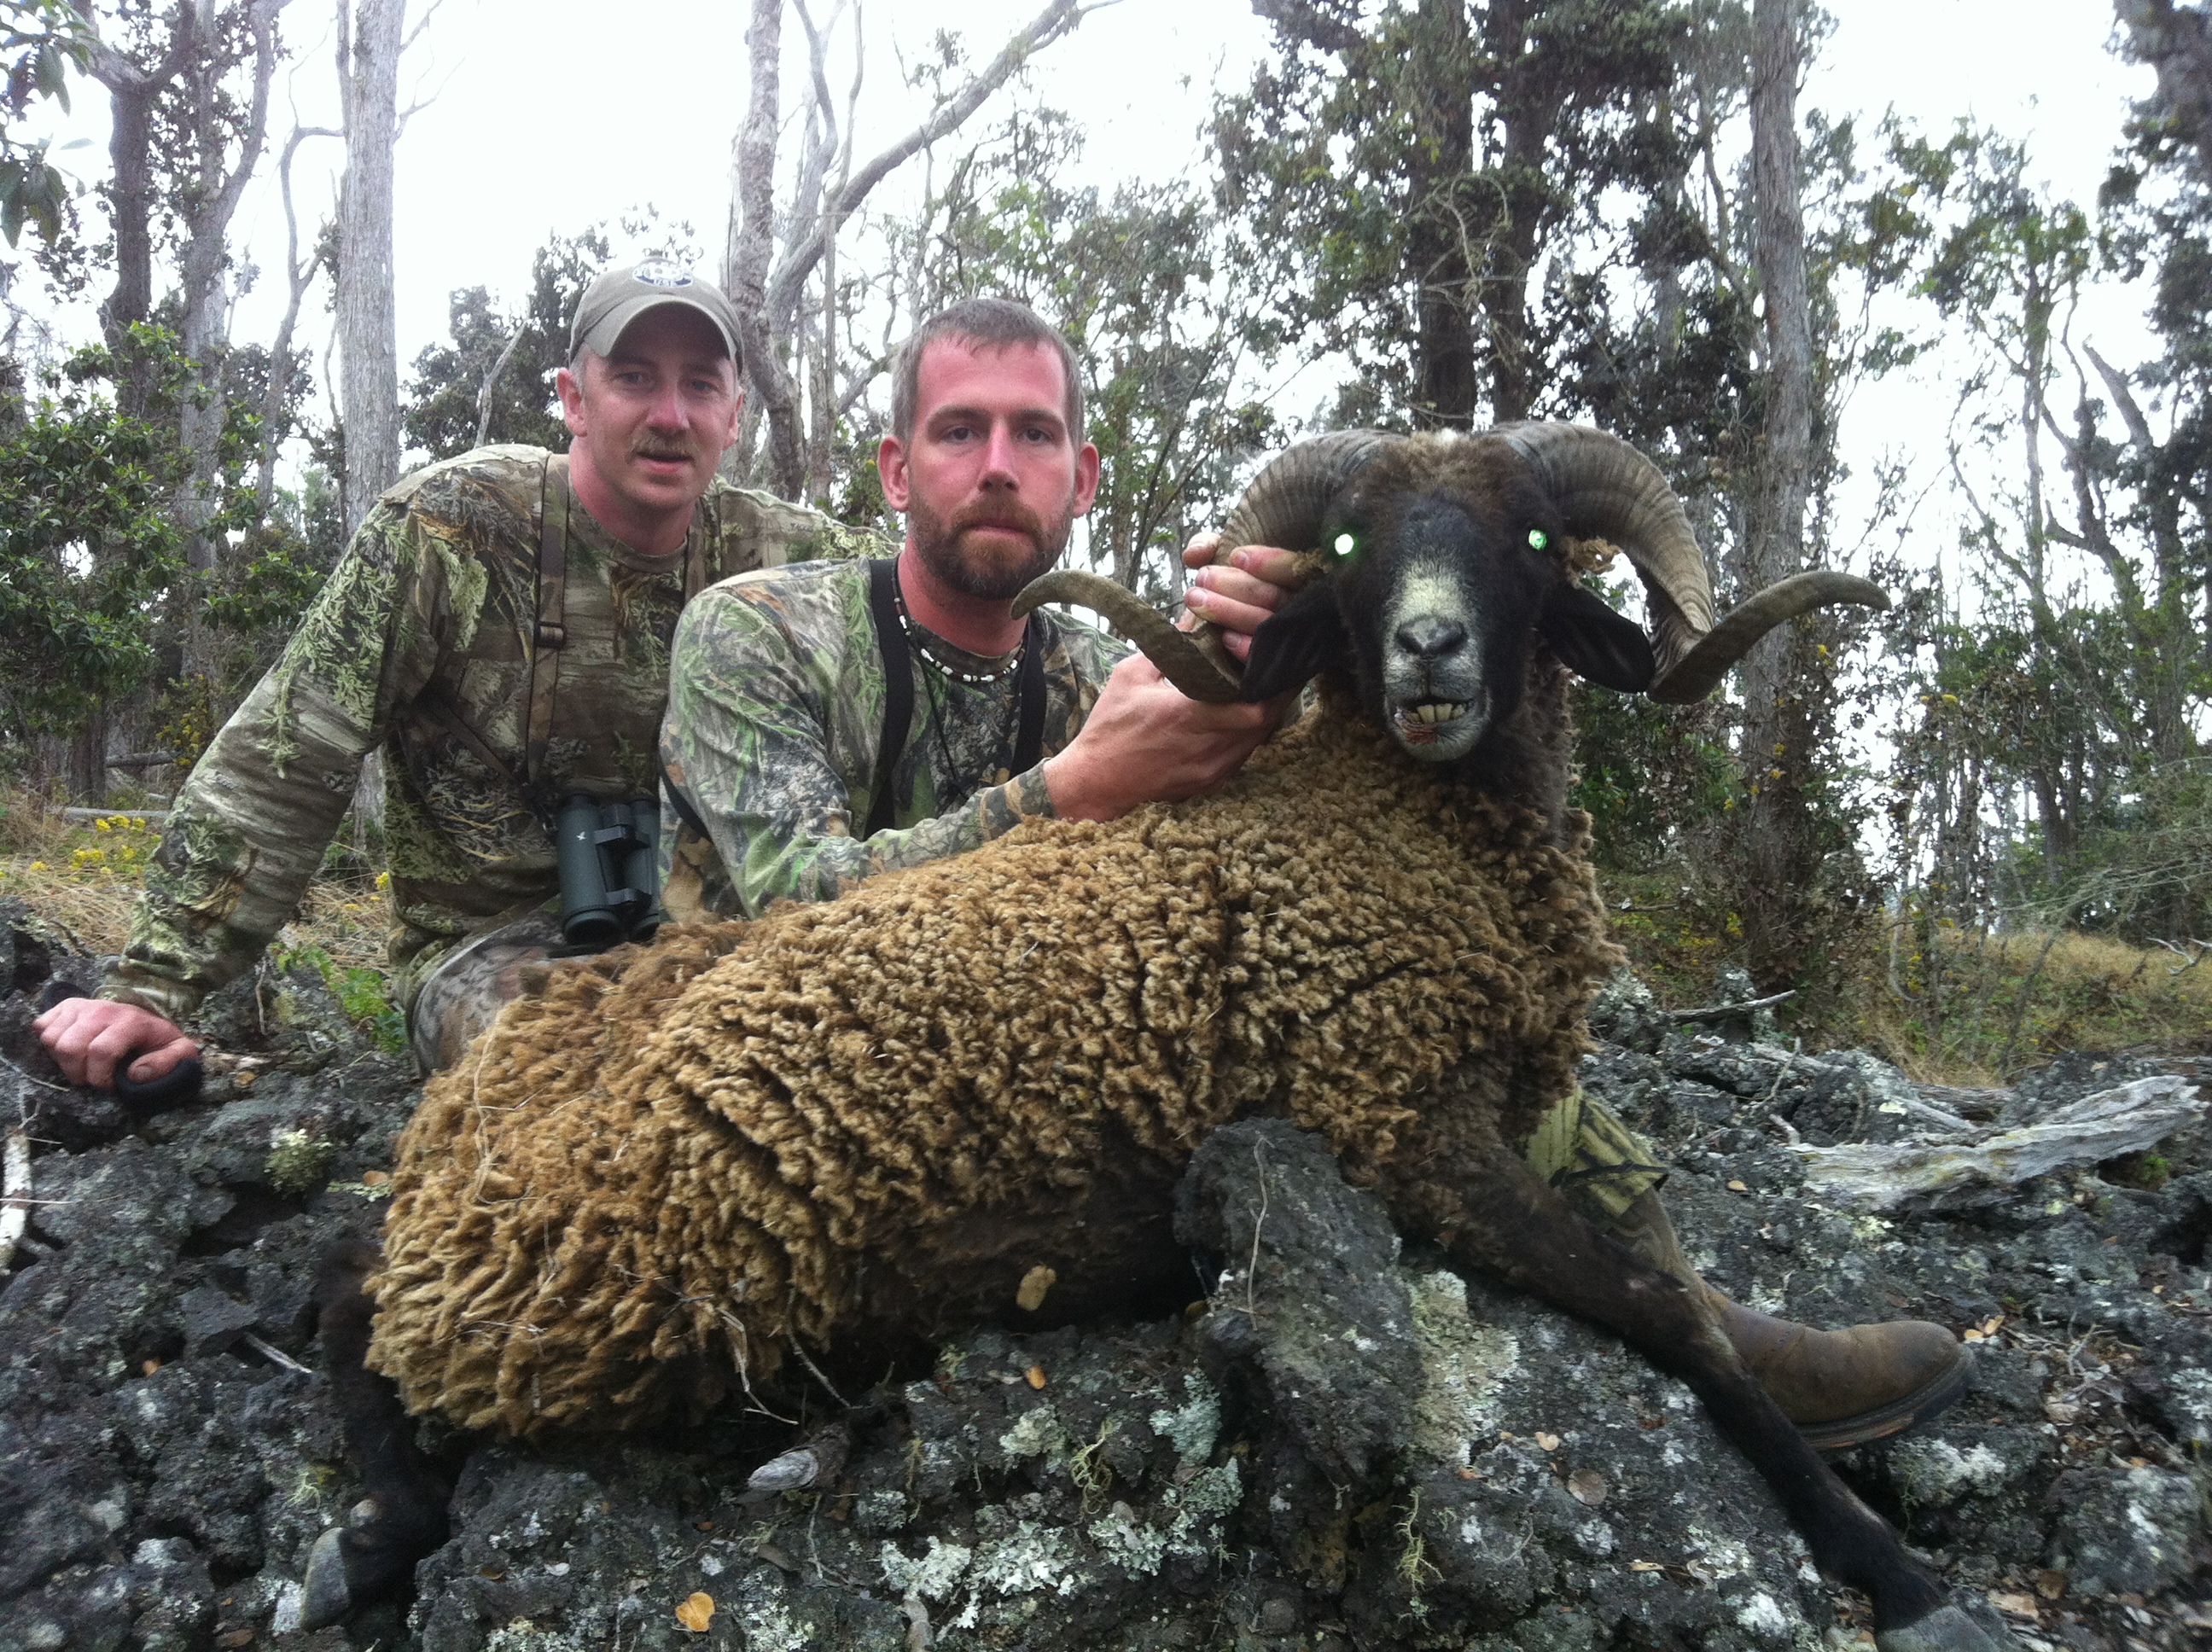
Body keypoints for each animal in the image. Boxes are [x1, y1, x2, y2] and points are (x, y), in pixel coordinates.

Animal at [349, 424, 2001, 1652]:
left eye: (1531, 542)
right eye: (1351, 550)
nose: (1430, 654)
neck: (1392, 831)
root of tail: (447, 1163)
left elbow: (1680, 1274)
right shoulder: (1405, 1134)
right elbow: (1665, 1310)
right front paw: (1891, 1569)